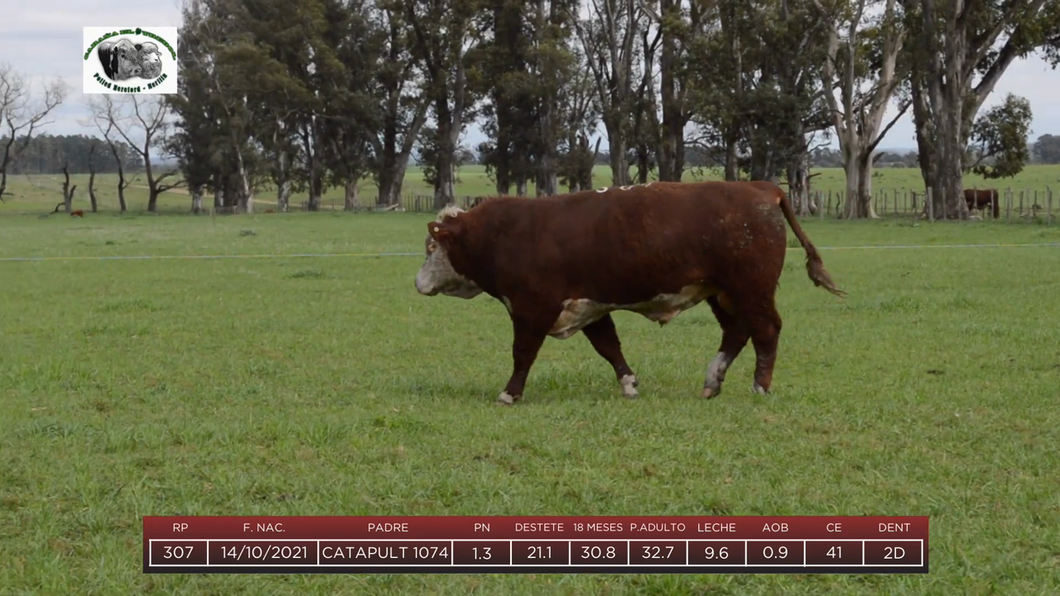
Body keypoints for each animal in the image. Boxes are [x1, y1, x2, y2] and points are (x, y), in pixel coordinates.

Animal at [413, 180, 843, 402]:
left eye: (432, 246)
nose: (418, 283)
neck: (503, 234)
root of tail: (760, 187)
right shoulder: (589, 307)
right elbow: (609, 347)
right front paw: (629, 383)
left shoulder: (532, 308)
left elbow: (523, 353)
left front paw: (510, 393)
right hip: (723, 293)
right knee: (737, 333)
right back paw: (712, 382)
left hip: (751, 288)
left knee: (766, 331)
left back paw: (759, 386)